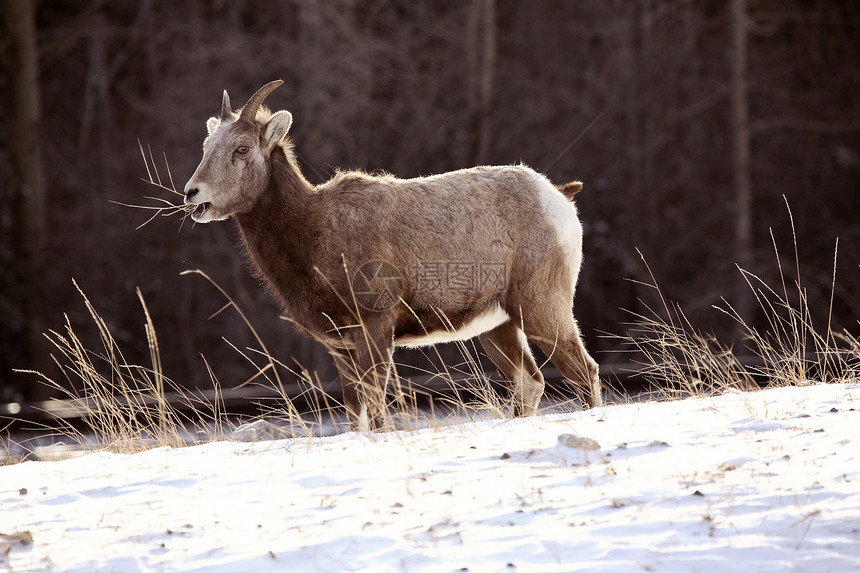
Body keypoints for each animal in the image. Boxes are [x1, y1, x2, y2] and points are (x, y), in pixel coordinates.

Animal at [183, 79, 596, 428]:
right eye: (205, 147)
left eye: (241, 149)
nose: (192, 193)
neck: (315, 231)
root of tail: (558, 197)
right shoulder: (341, 348)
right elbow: (357, 417)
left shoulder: (376, 330)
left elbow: (379, 415)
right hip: (500, 326)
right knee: (531, 382)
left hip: (541, 307)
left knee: (584, 372)